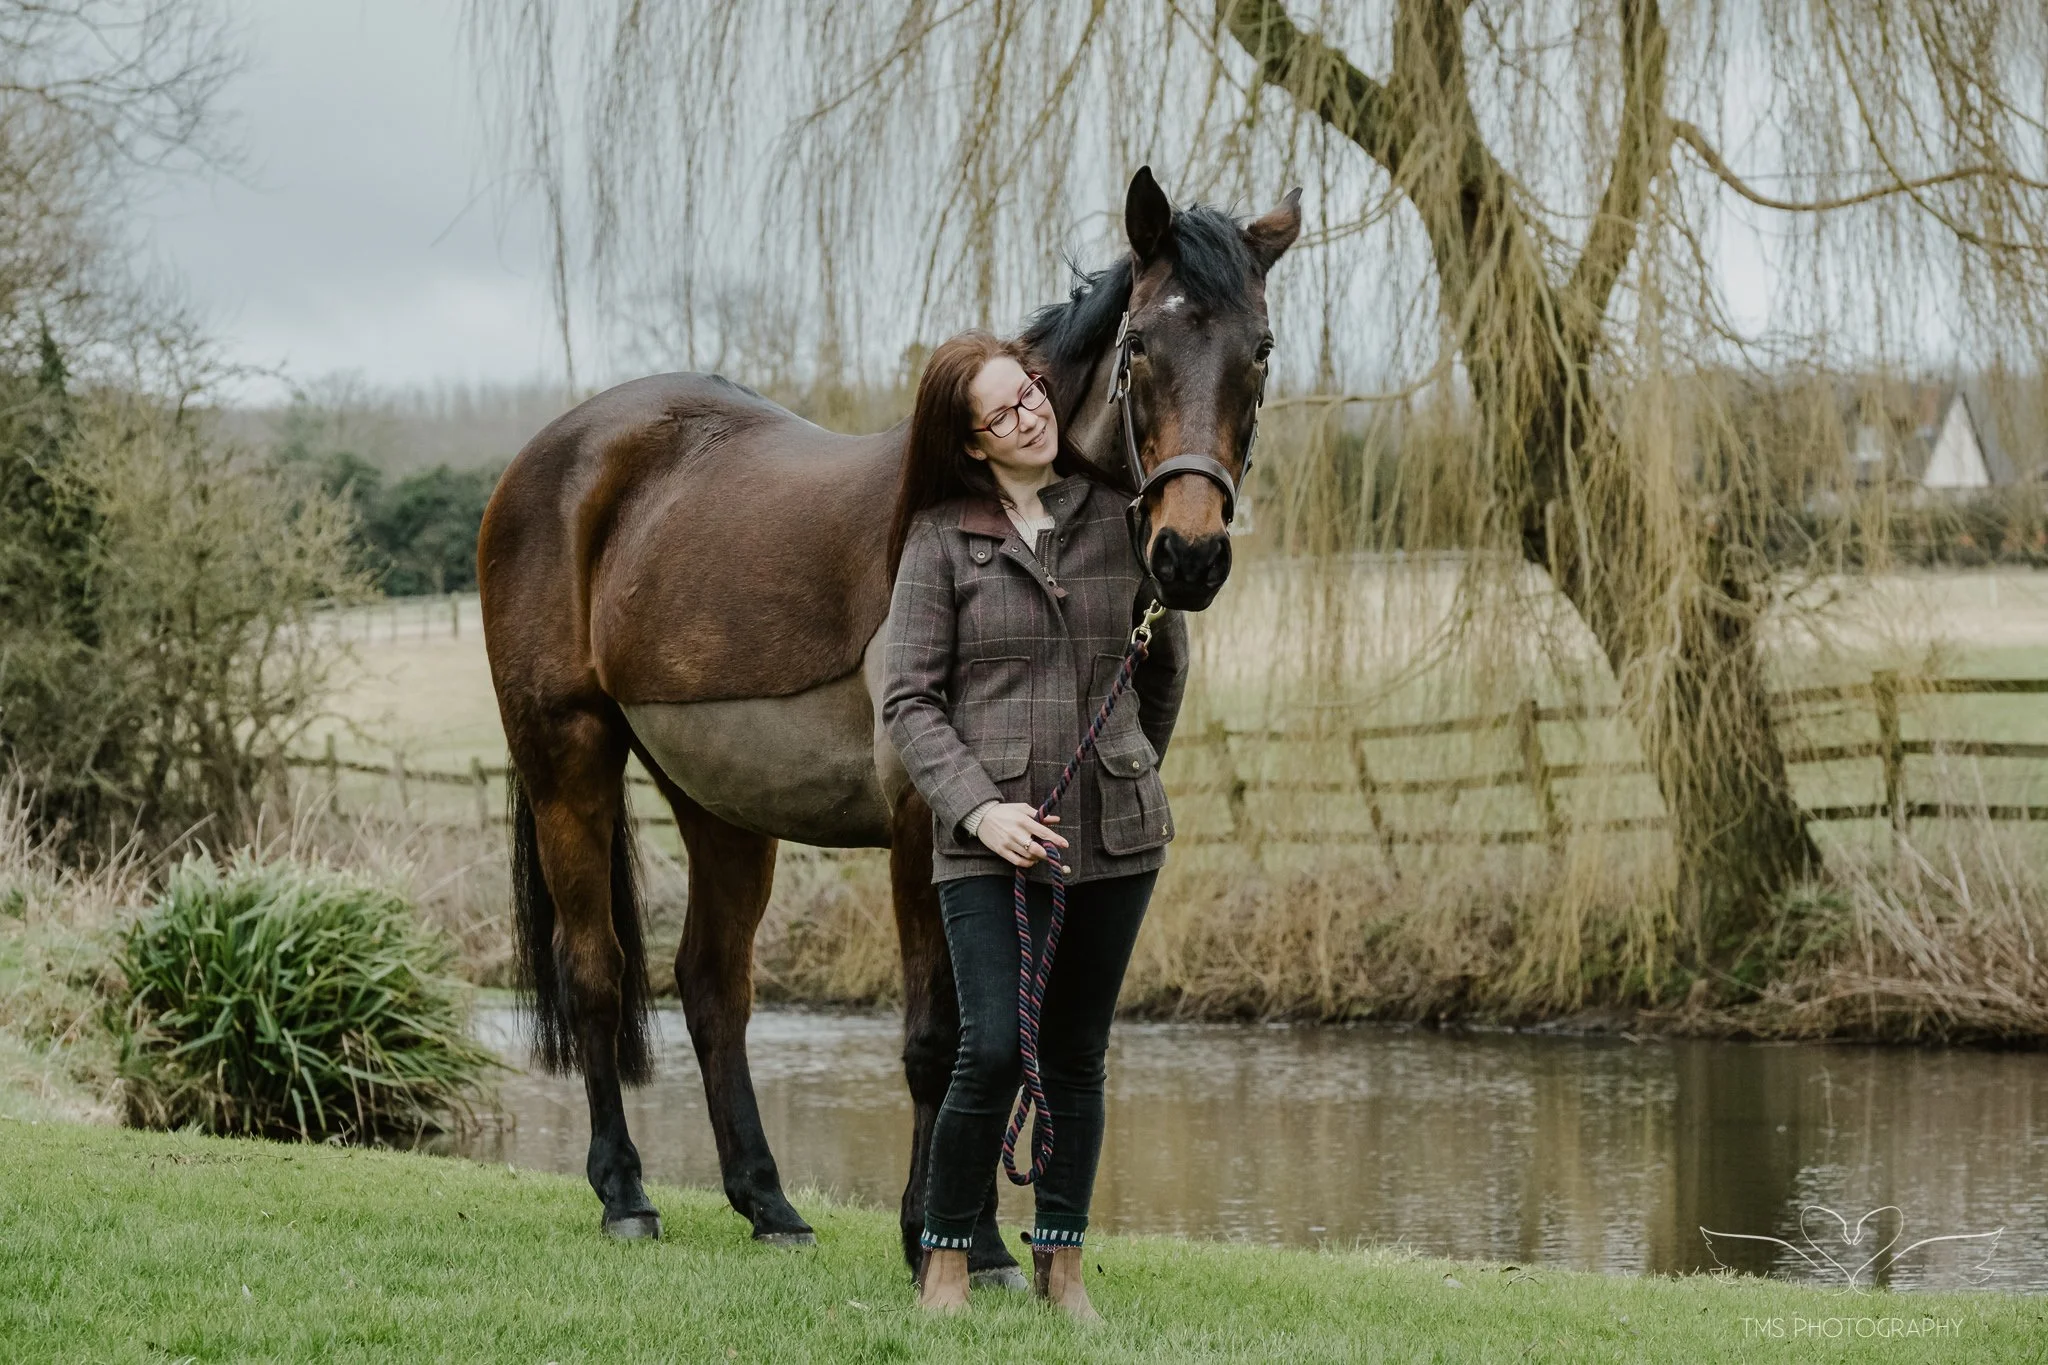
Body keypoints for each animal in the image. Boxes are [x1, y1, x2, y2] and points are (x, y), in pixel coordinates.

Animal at [477, 166, 1300, 1281]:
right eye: (1141, 346)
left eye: (1259, 350)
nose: (1189, 555)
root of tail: (555, 453)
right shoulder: (929, 826)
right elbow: (938, 1036)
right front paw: (939, 1237)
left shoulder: (1062, 835)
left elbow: (1016, 1030)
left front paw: (986, 1238)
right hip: (568, 756)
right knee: (596, 971)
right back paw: (625, 1193)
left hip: (720, 802)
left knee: (712, 985)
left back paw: (768, 1201)